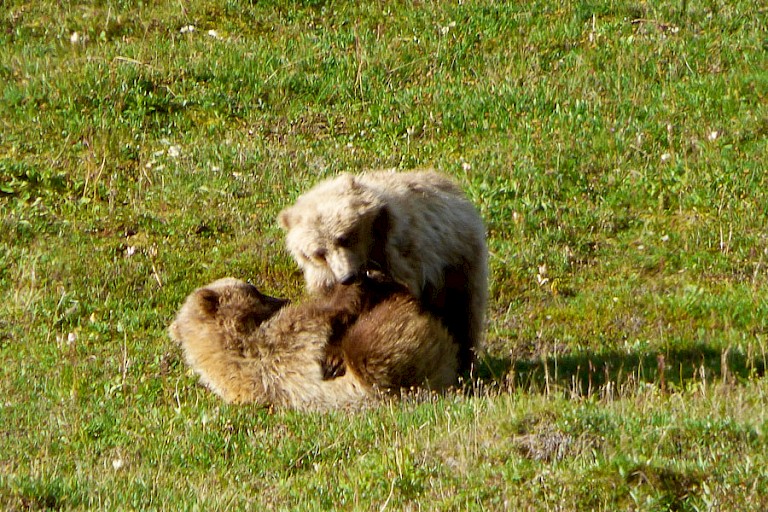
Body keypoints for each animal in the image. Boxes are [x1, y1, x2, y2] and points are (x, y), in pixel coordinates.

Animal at [277, 169, 488, 373]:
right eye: (319, 253)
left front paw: (336, 357)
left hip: (458, 258)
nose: (347, 277)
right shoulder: (326, 279)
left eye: (344, 237)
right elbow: (334, 308)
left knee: (464, 312)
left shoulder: (401, 256)